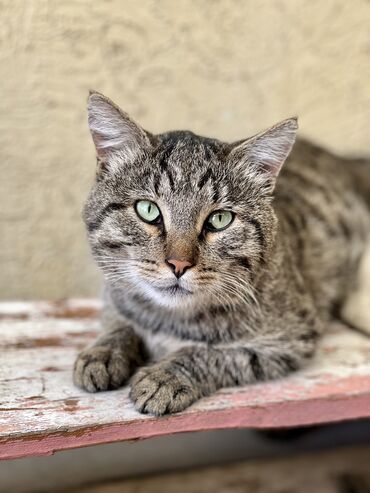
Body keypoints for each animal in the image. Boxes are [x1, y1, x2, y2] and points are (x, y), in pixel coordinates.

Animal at [73, 90, 370, 414]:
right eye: (148, 210)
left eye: (219, 219)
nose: (178, 264)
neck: (169, 319)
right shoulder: (114, 295)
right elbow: (120, 324)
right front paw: (103, 352)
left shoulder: (289, 339)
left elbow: (212, 354)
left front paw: (166, 376)